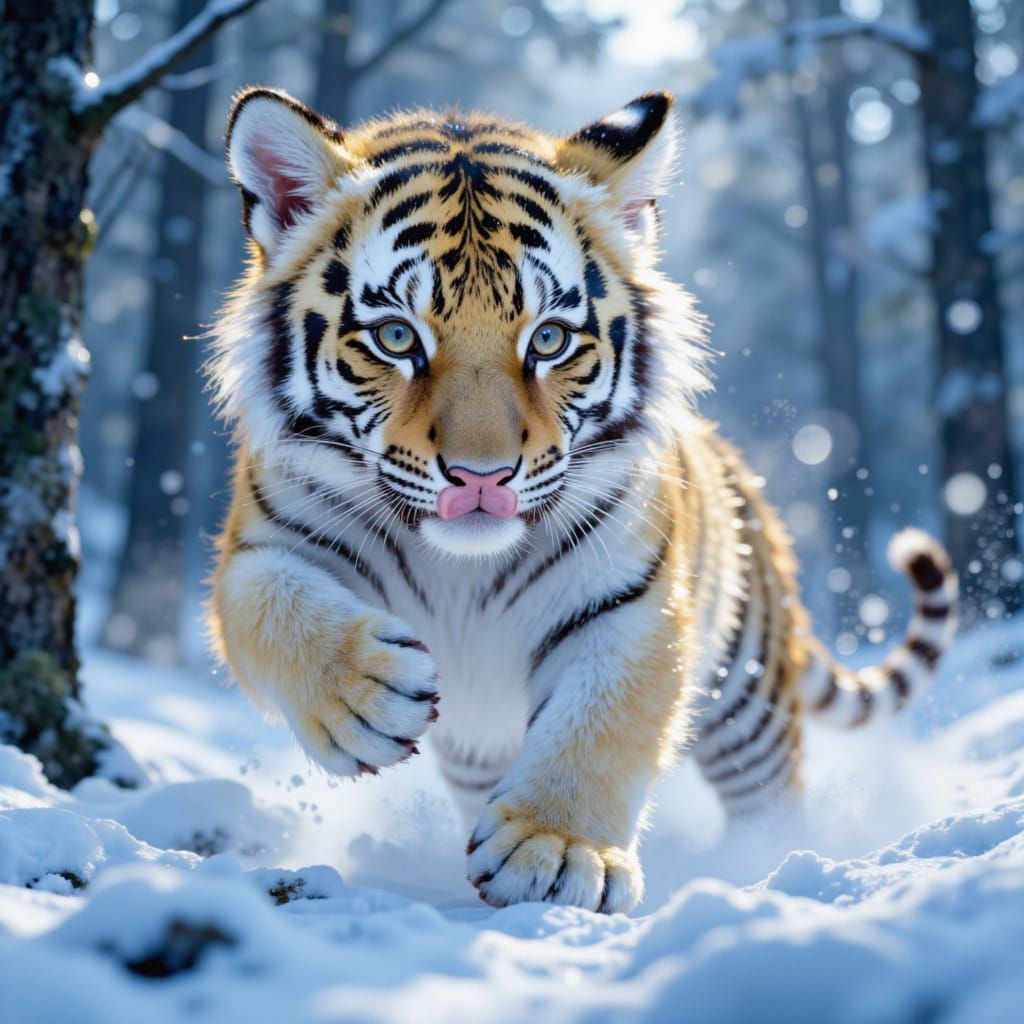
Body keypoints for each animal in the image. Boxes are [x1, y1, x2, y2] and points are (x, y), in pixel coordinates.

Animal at [206, 86, 959, 914]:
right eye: (398, 338)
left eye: (549, 340)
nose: (481, 476)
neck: (462, 570)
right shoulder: (262, 546)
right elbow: (267, 607)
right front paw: (364, 695)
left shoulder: (631, 603)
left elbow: (603, 722)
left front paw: (554, 849)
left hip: (748, 698)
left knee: (771, 797)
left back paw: (763, 866)